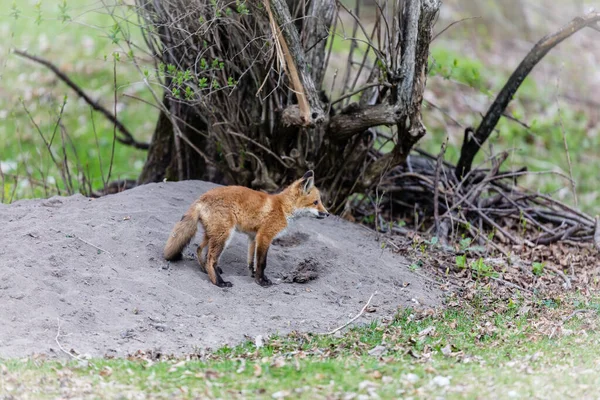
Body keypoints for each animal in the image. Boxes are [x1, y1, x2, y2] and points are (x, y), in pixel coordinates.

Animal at [163, 170, 328, 286]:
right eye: (316, 202)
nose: (327, 214)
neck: (283, 208)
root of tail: (202, 198)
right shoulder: (264, 236)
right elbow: (262, 262)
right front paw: (261, 281)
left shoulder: (253, 237)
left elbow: (251, 261)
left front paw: (253, 275)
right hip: (224, 235)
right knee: (211, 259)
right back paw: (219, 282)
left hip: (212, 234)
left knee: (199, 249)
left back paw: (205, 270)